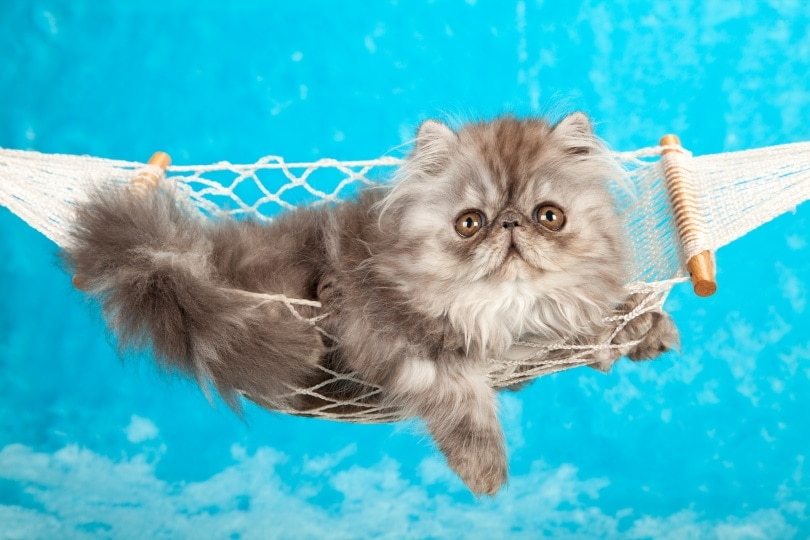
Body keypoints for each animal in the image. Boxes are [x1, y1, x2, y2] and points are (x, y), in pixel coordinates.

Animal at [66, 112, 680, 496]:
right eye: (470, 223)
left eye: (548, 216)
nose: (508, 225)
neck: (504, 312)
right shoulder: (386, 332)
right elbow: (463, 398)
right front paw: (485, 472)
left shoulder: (538, 338)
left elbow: (596, 322)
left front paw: (644, 329)